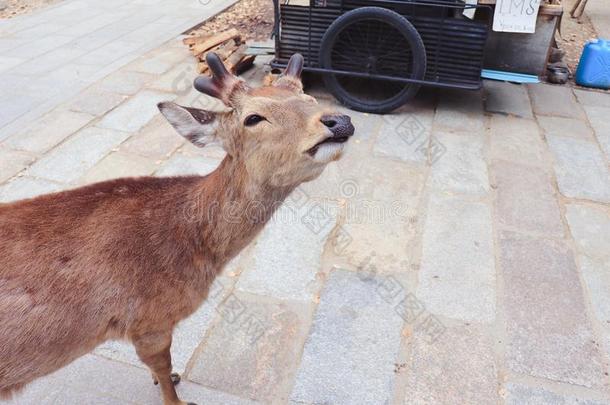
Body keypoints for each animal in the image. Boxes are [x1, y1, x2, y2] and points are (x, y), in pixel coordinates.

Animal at [0, 53, 354, 404]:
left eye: (309, 98)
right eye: (254, 118)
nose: (339, 121)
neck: (193, 247)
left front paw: (167, 378)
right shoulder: (149, 321)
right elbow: (162, 364)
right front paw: (176, 393)